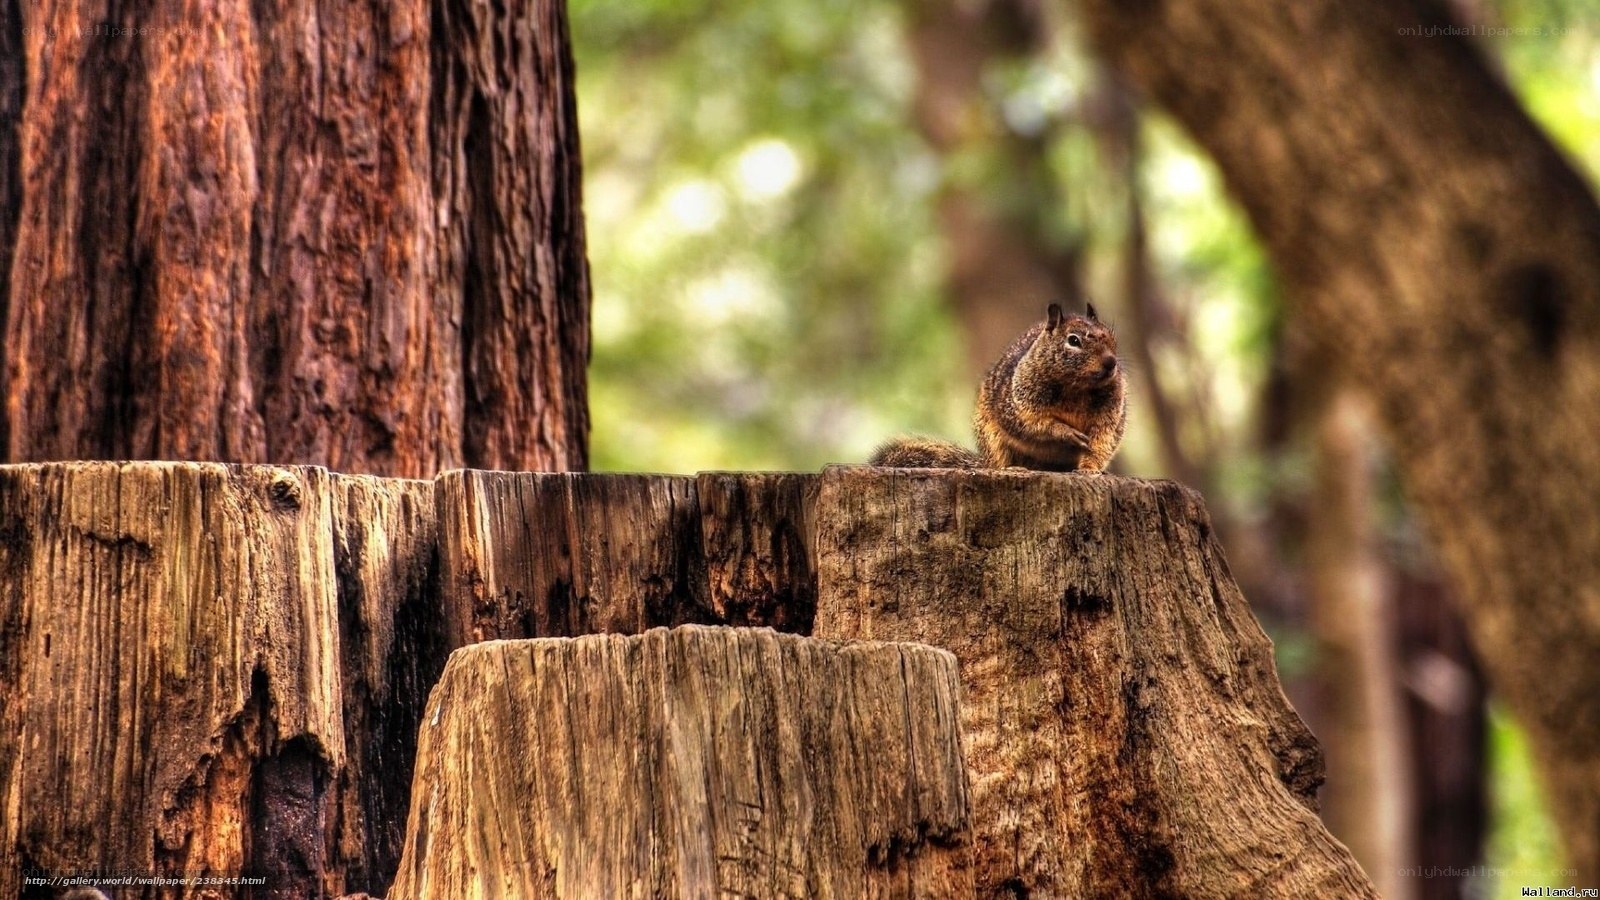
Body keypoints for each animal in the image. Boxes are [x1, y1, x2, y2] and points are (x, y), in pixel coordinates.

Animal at [871, 302, 1127, 472]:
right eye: (1073, 340)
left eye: (1113, 338)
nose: (1111, 362)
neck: (1077, 387)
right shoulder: (1018, 402)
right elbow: (1033, 424)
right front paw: (1065, 432)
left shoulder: (1110, 413)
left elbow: (1101, 441)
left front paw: (1090, 469)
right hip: (992, 438)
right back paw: (1014, 469)